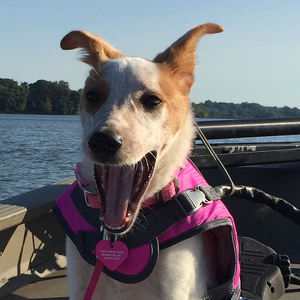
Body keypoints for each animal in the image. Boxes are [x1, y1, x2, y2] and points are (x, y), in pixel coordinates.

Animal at [57, 23, 238, 300]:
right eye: (92, 96)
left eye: (152, 101)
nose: (102, 142)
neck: (120, 238)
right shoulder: (80, 286)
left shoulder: (175, 288)